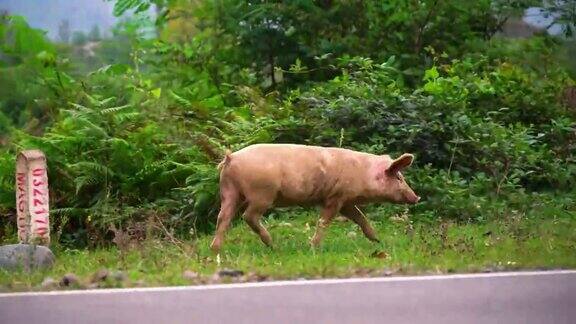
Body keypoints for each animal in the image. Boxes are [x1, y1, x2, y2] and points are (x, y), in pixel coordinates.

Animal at [209, 144, 420, 253]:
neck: (363, 174)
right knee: (248, 216)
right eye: (399, 178)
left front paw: (377, 240)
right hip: (261, 193)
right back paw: (274, 246)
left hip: (229, 191)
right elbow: (324, 221)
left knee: (223, 217)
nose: (416, 197)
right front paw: (313, 247)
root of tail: (231, 158)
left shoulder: (346, 201)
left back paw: (215, 249)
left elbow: (360, 218)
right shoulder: (335, 197)